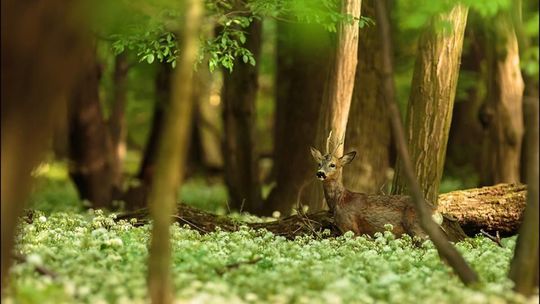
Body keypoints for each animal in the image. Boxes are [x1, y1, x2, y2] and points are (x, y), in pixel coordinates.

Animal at [310, 132, 440, 239]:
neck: (340, 200)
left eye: (333, 165)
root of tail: (436, 211)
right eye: (319, 163)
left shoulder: (351, 227)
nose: (320, 173)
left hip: (416, 226)